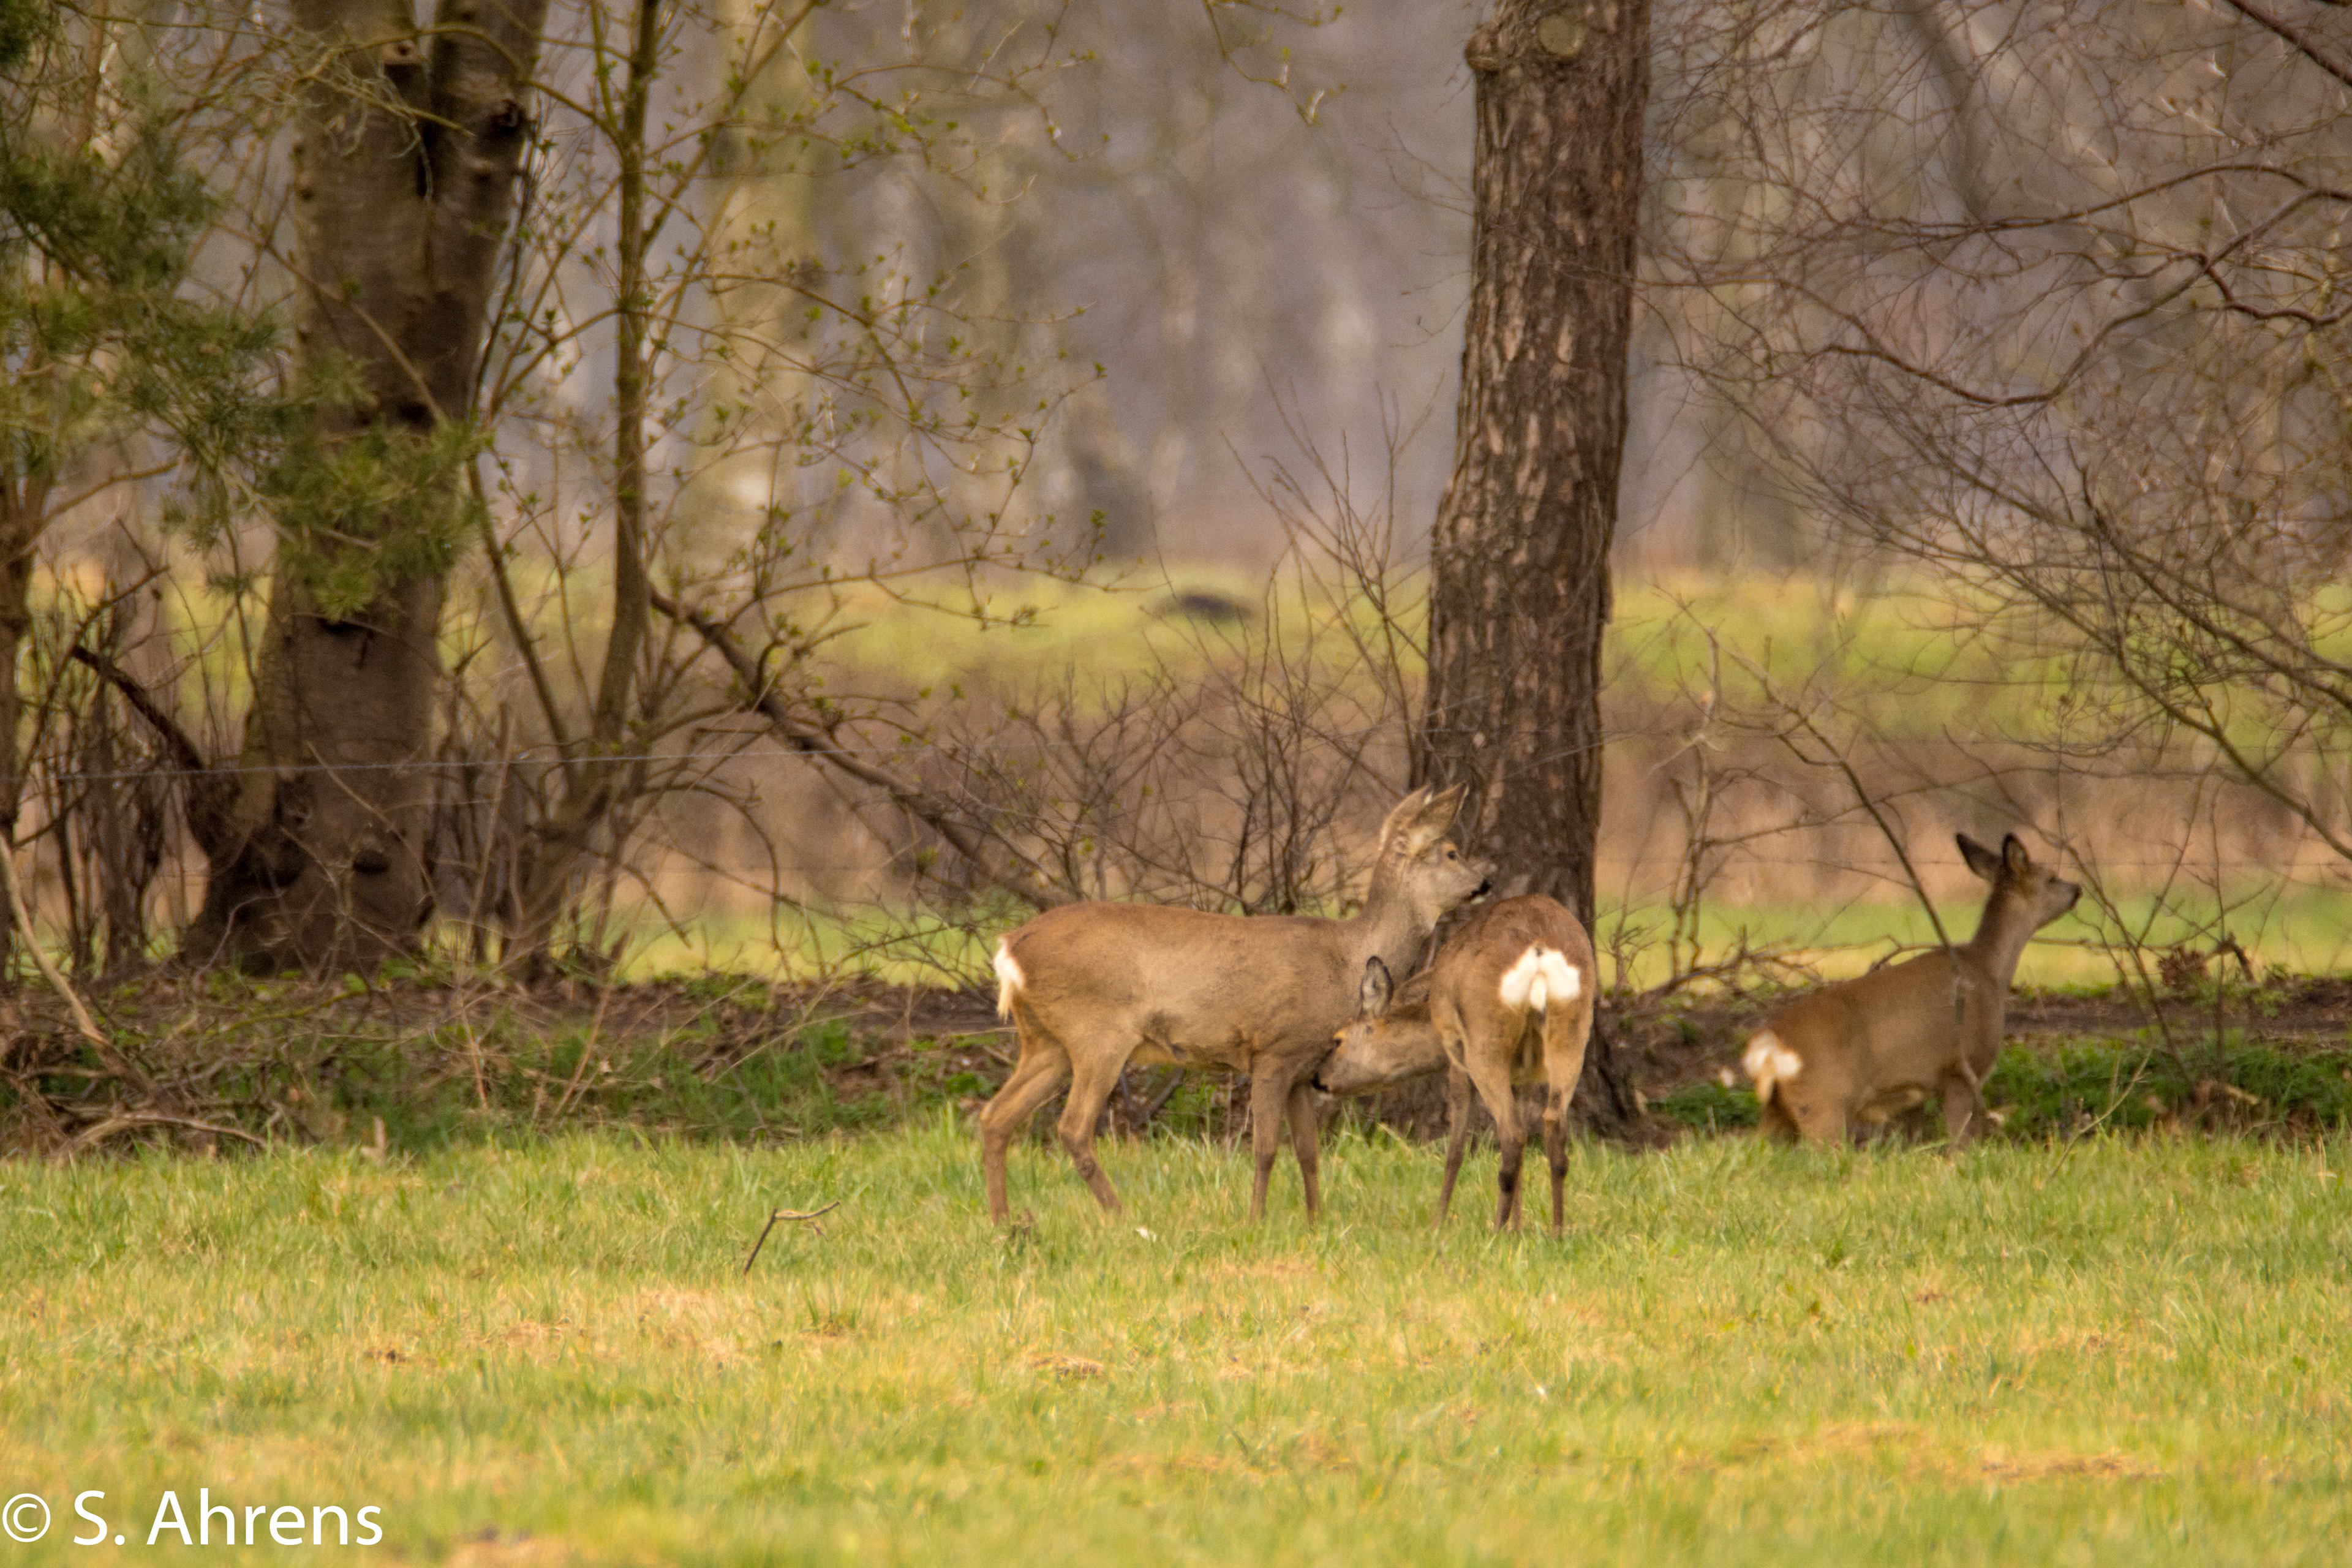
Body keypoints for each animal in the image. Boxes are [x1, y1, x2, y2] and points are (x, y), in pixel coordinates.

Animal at [980, 784, 1492, 1226]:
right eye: (1451, 853)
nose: (1486, 881)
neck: (1347, 957)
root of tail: (1010, 949)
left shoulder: (1305, 1066)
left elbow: (1308, 1150)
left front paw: (1316, 1222)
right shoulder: (1274, 1051)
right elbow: (1265, 1148)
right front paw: (1255, 1221)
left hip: (1046, 1041)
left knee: (995, 1116)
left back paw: (1004, 1223)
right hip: (1097, 1034)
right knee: (1071, 1127)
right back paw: (1123, 1218)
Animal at [1311, 895, 1596, 1235]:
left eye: (1337, 1039)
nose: (1317, 1079)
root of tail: (1538, 950)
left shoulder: (1456, 1055)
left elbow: (1456, 1147)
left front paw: (1438, 1224)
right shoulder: (1522, 1073)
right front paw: (1518, 1228)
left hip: (1484, 1039)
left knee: (1512, 1133)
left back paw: (1496, 1232)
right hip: (1573, 1031)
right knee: (1551, 1123)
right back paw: (1556, 1232)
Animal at [1742, 832, 2080, 1145]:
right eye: (2050, 877)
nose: (2077, 889)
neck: (1990, 971)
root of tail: (1768, 1041)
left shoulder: (1917, 1092)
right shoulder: (1961, 1068)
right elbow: (1959, 1143)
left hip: (1777, 1108)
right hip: (1823, 1099)